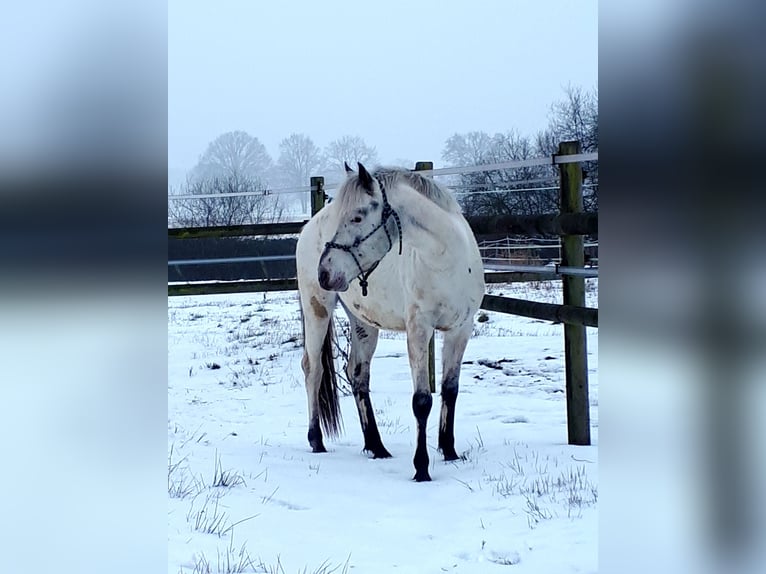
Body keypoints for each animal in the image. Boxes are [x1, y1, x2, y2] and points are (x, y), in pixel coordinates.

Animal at [296, 162, 485, 481]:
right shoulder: (419, 330)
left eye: (357, 216)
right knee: (314, 369)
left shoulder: (461, 329)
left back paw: (376, 446)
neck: (445, 260)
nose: (325, 271)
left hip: (363, 322)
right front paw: (421, 468)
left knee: (357, 374)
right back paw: (316, 440)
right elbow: (422, 401)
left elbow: (450, 390)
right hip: (317, 309)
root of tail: (308, 227)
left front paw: (449, 451)